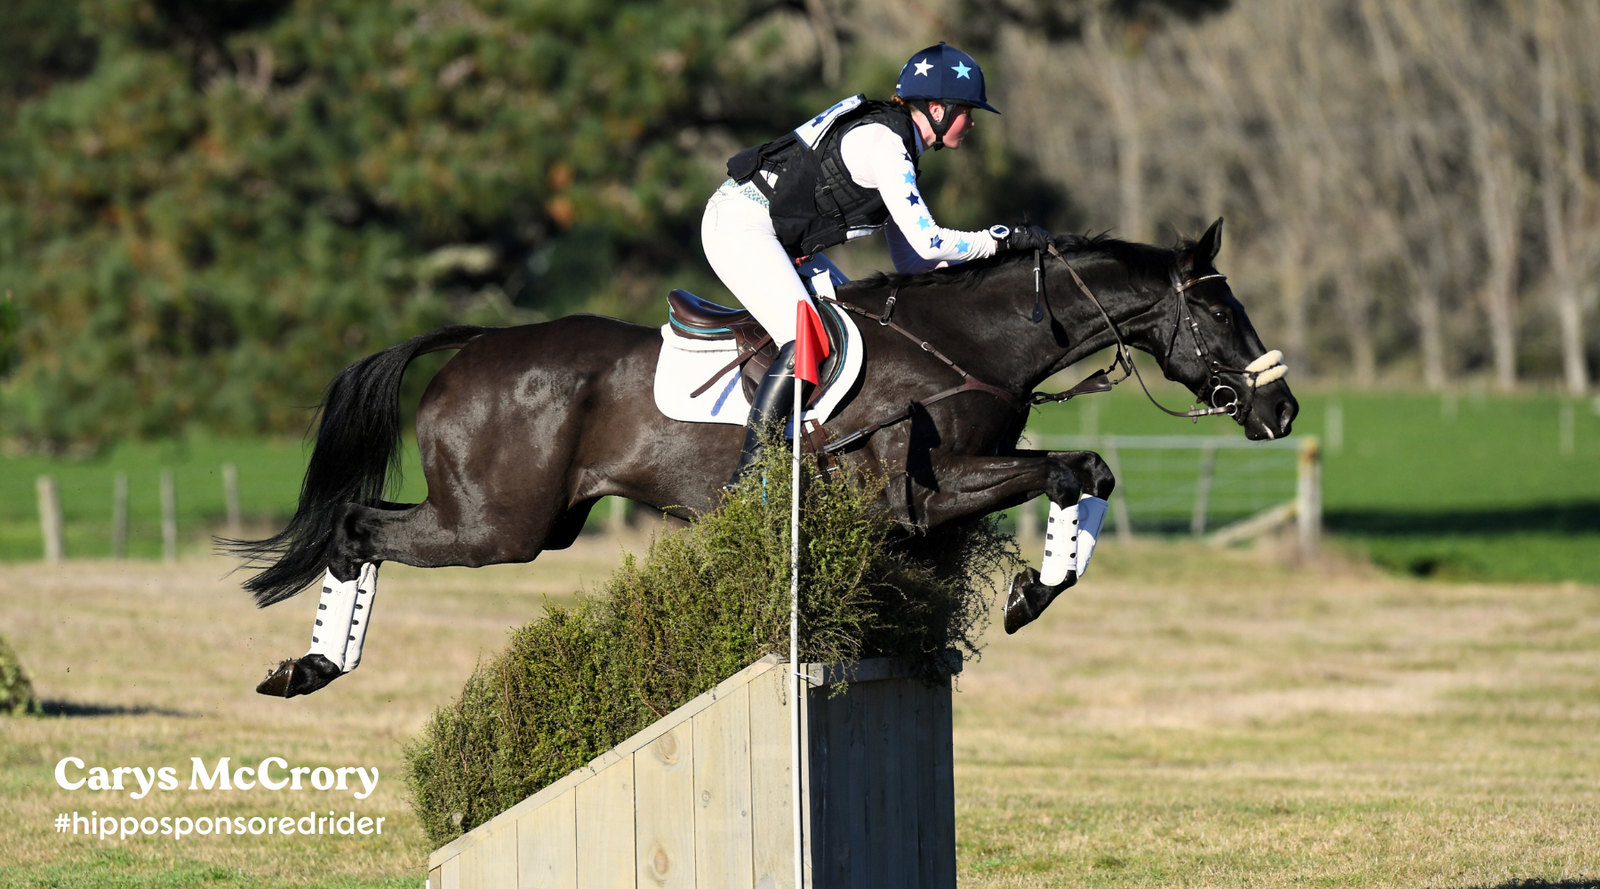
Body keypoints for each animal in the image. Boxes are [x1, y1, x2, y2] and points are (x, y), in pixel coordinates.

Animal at [231, 218, 1297, 697]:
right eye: (1219, 313)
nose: (1280, 408)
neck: (969, 343)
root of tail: (475, 342)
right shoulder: (914, 497)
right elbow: (1074, 469)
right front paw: (1032, 593)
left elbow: (1088, 471)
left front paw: (1029, 589)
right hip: (497, 524)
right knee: (357, 525)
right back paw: (313, 667)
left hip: (530, 522)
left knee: (361, 527)